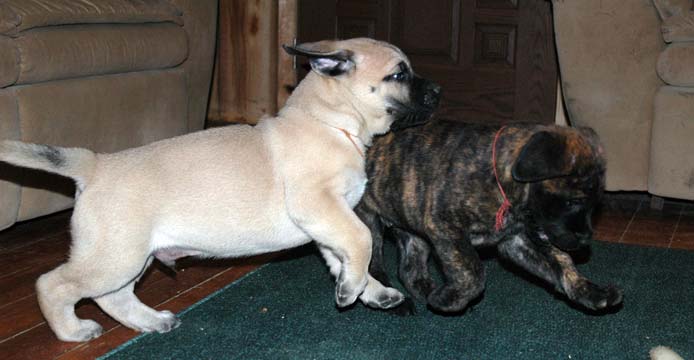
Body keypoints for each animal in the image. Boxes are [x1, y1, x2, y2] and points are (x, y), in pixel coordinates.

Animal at [358, 119, 624, 314]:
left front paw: (591, 292)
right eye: (573, 201)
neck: (502, 180)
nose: (585, 240)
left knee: (410, 268)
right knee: (374, 266)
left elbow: (562, 263)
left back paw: (427, 290)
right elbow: (473, 270)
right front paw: (450, 299)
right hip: (368, 223)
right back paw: (394, 300)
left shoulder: (516, 242)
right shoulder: (444, 226)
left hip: (410, 225)